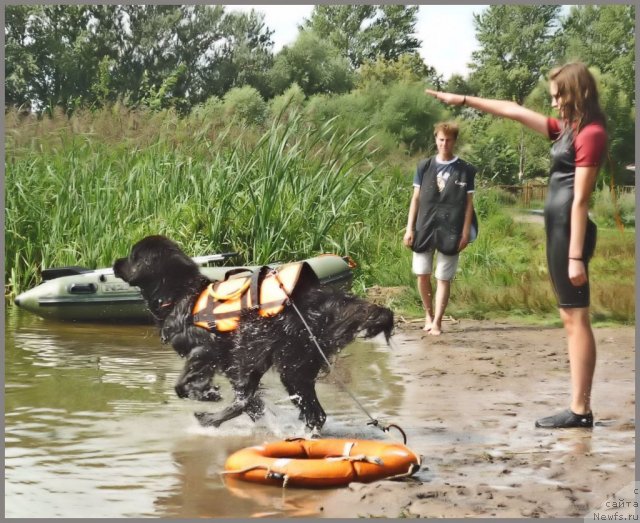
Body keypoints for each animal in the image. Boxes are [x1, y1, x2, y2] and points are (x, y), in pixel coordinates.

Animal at [115, 237, 396, 434]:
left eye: (132, 256)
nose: (115, 262)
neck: (181, 294)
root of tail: (322, 301)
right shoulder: (225, 363)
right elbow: (254, 404)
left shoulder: (206, 350)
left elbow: (182, 386)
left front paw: (208, 395)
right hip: (297, 367)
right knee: (314, 413)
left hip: (261, 352)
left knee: (249, 397)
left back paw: (209, 419)